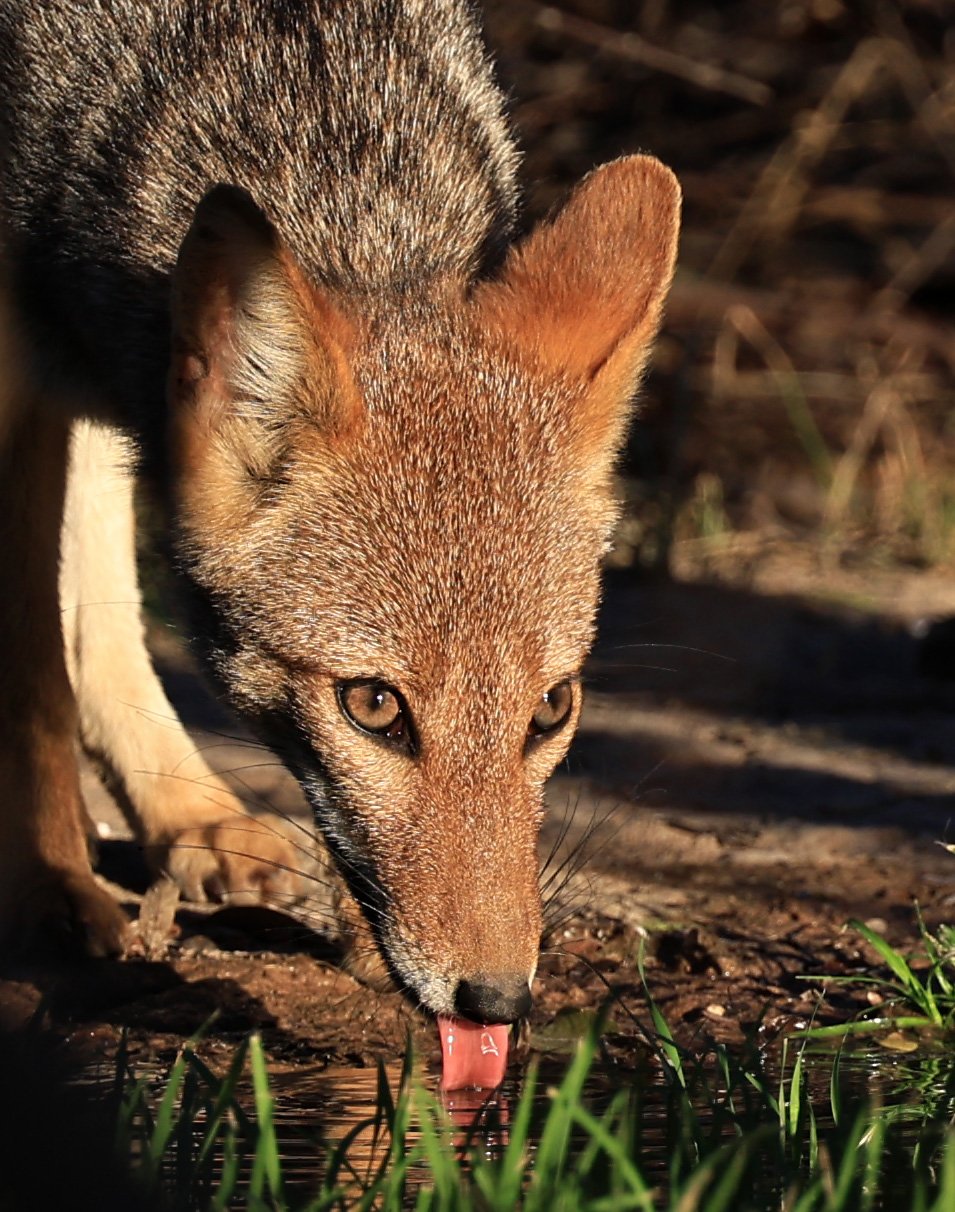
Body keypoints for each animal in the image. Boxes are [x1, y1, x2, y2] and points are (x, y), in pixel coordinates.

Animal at [0, 0, 679, 1084]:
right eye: (372, 707)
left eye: (550, 710)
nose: (497, 1001)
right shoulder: (15, 355)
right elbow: (26, 676)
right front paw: (47, 888)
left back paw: (192, 813)